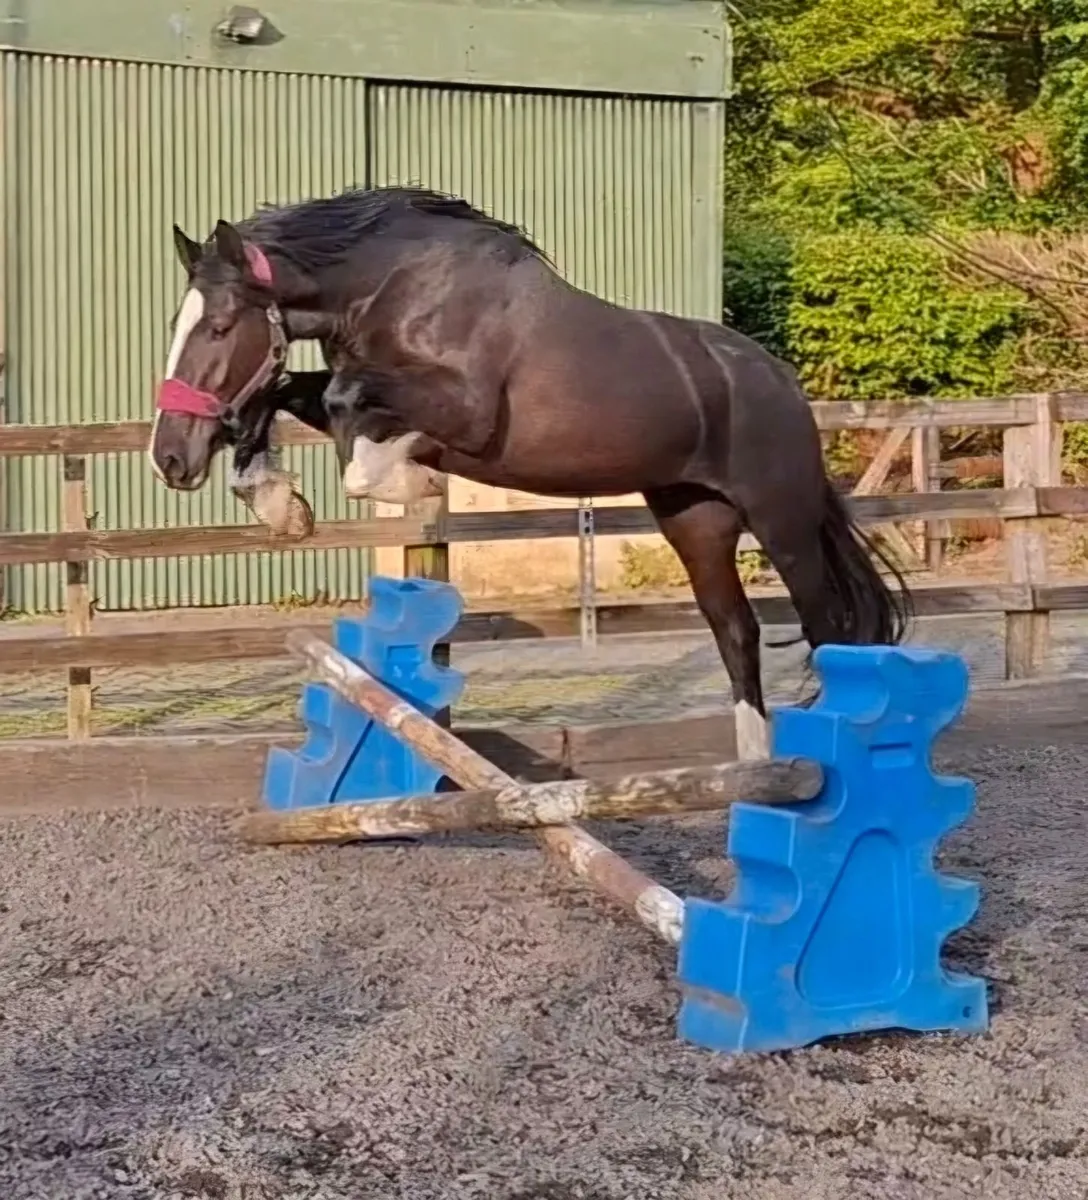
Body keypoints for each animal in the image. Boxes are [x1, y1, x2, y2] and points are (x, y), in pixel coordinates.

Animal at [149, 186, 911, 758]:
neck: (394, 287)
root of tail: (781, 381)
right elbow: (288, 394)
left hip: (782, 524)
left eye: (219, 328)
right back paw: (757, 767)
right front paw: (279, 503)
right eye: (178, 326)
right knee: (736, 631)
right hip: (695, 521)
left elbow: (347, 404)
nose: (170, 459)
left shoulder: (466, 407)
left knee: (827, 626)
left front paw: (403, 479)